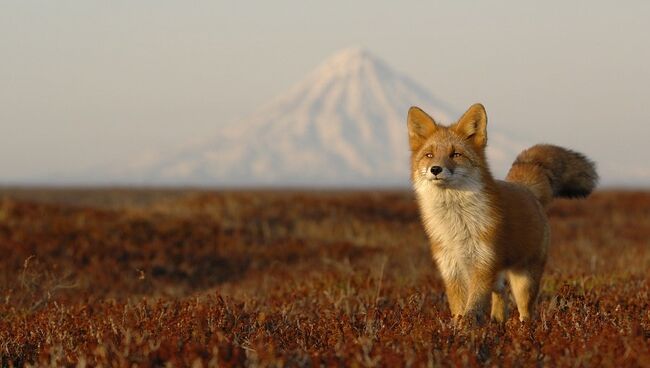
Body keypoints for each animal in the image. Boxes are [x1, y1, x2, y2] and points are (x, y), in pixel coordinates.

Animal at [408, 102, 596, 324]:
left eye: (455, 154)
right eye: (429, 155)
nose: (436, 169)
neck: (457, 223)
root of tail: (525, 187)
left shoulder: (482, 264)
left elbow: (473, 308)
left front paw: (466, 329)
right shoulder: (451, 269)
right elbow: (459, 309)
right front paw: (456, 328)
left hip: (524, 280)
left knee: (526, 311)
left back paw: (523, 329)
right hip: (498, 275)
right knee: (502, 296)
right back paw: (498, 324)